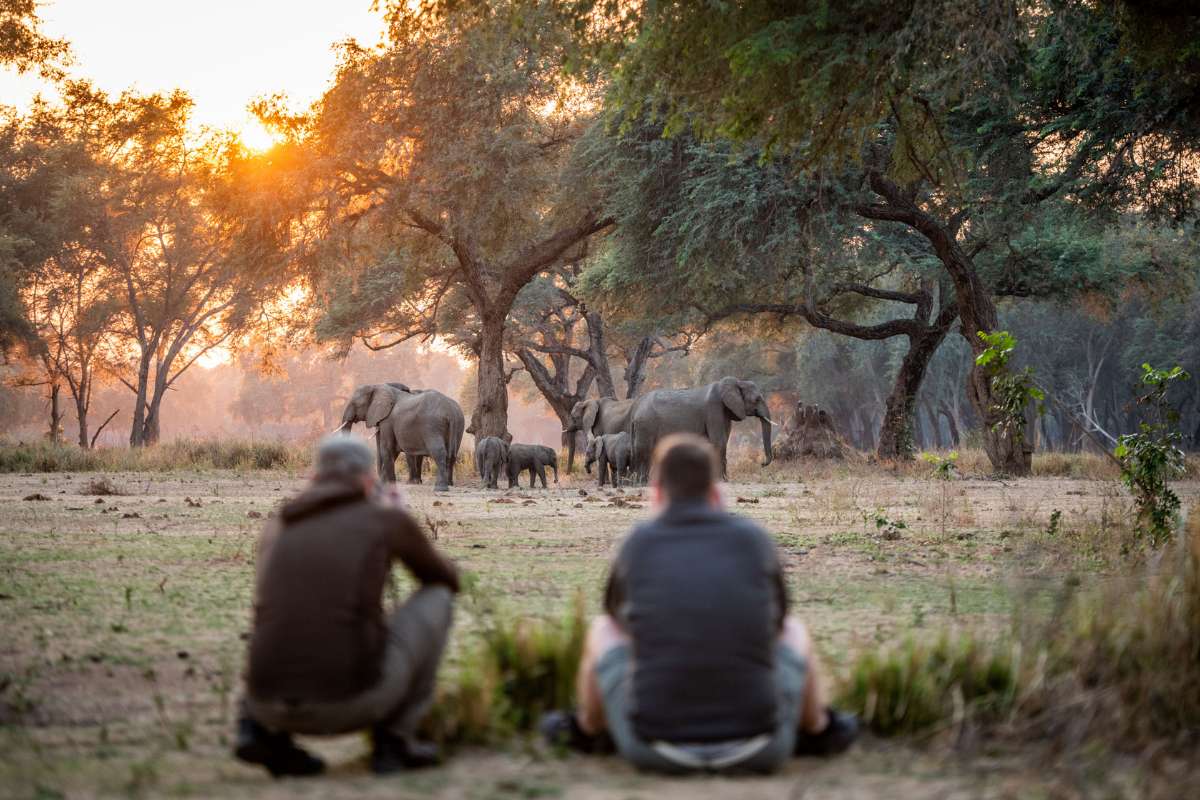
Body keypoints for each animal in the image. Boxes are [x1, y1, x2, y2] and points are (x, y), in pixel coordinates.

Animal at [629, 377, 774, 481]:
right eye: (757, 399)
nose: (762, 464)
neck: (737, 382)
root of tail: (635, 410)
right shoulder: (714, 409)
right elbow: (719, 442)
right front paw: (721, 481)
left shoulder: (725, 412)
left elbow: (724, 441)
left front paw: (725, 480)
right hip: (646, 424)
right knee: (644, 450)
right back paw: (642, 482)